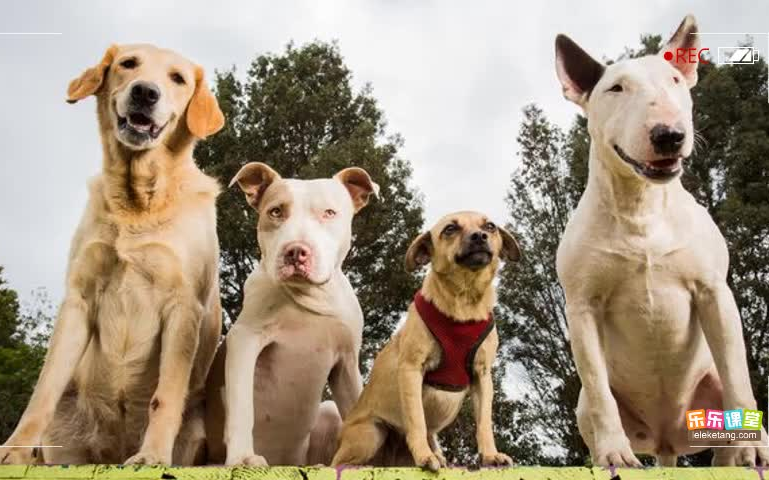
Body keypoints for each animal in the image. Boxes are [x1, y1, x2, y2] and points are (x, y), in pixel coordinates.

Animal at [1, 44, 225, 464]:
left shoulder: (182, 306)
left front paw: (152, 455)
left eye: (178, 78)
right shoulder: (80, 297)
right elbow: (44, 388)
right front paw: (15, 451)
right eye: (128, 64)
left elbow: (165, 396)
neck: (138, 199)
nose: (145, 92)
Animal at [204, 161, 378, 464]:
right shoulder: (245, 339)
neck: (309, 296)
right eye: (276, 211)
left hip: (327, 412)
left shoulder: (346, 363)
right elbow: (242, 405)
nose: (296, 251)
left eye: (329, 213)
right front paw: (243, 457)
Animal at [332, 212, 520, 470]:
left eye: (490, 226)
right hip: (371, 432)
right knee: (336, 461)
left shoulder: (482, 376)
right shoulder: (412, 369)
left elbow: (484, 424)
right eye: (450, 229)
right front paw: (423, 456)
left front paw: (491, 455)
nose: (480, 236)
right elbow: (417, 420)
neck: (464, 302)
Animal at [556, 14, 768, 464]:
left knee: (722, 436)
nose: (669, 135)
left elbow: (739, 374)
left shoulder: (714, 291)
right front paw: (615, 457)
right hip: (587, 407)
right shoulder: (581, 306)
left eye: (674, 79)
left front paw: (755, 450)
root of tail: (667, 437)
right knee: (596, 406)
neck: (641, 206)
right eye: (616, 88)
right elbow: (599, 392)